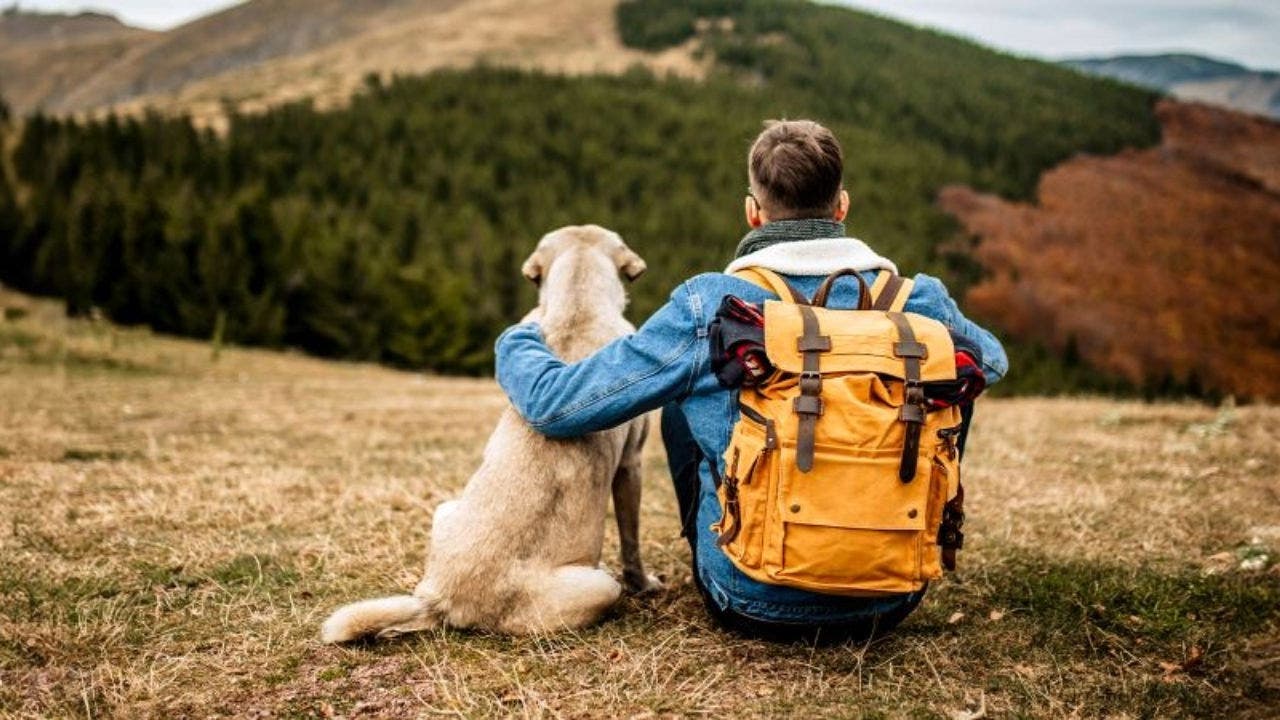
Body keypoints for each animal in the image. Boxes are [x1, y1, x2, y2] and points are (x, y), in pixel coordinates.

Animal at [320, 224, 660, 638]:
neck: (576, 304)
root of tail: (443, 599)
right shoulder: (631, 464)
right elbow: (631, 540)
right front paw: (644, 583)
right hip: (600, 586)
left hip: (445, 509)